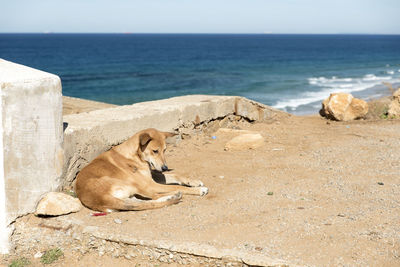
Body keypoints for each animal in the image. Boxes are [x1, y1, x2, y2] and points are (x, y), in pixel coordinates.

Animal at [75, 129, 208, 213]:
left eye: (165, 150)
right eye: (155, 151)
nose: (165, 167)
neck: (134, 155)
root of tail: (100, 199)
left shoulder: (152, 177)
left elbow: (175, 175)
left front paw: (193, 181)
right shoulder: (150, 183)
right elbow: (177, 186)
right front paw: (198, 189)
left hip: (130, 195)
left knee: (144, 202)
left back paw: (170, 198)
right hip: (135, 186)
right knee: (155, 196)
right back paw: (174, 196)